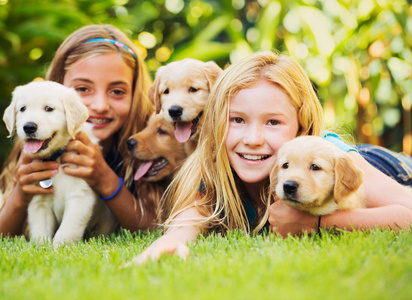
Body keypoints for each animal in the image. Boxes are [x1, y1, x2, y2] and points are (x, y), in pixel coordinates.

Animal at [4, 80, 117, 246]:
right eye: (23, 109)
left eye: (49, 108)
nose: (29, 127)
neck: (55, 157)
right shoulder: (39, 201)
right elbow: (40, 233)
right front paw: (41, 248)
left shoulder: (79, 196)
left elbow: (67, 231)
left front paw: (61, 248)